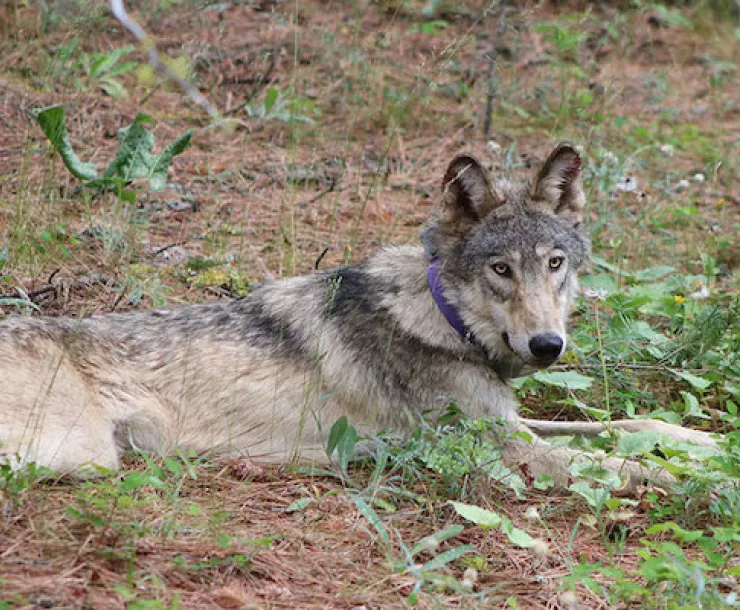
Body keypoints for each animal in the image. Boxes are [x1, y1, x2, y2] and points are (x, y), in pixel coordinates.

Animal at [0, 143, 717, 491]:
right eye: (500, 270)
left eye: (555, 263)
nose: (547, 345)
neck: (444, 321)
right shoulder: (510, 448)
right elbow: (623, 467)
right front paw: (707, 482)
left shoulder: (510, 422)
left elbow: (629, 425)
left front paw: (705, 444)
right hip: (83, 456)